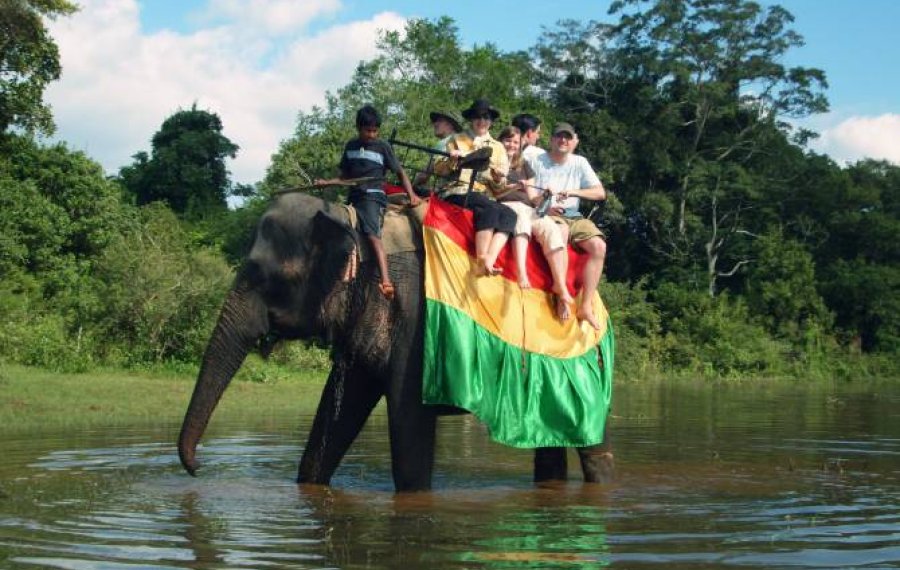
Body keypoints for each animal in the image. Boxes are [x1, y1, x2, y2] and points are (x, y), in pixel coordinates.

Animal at [178, 192, 612, 492]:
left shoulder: (416, 318)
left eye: (262, 276)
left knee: (590, 440)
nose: (198, 469)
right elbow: (338, 412)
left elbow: (409, 427)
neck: (352, 221)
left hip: (584, 358)